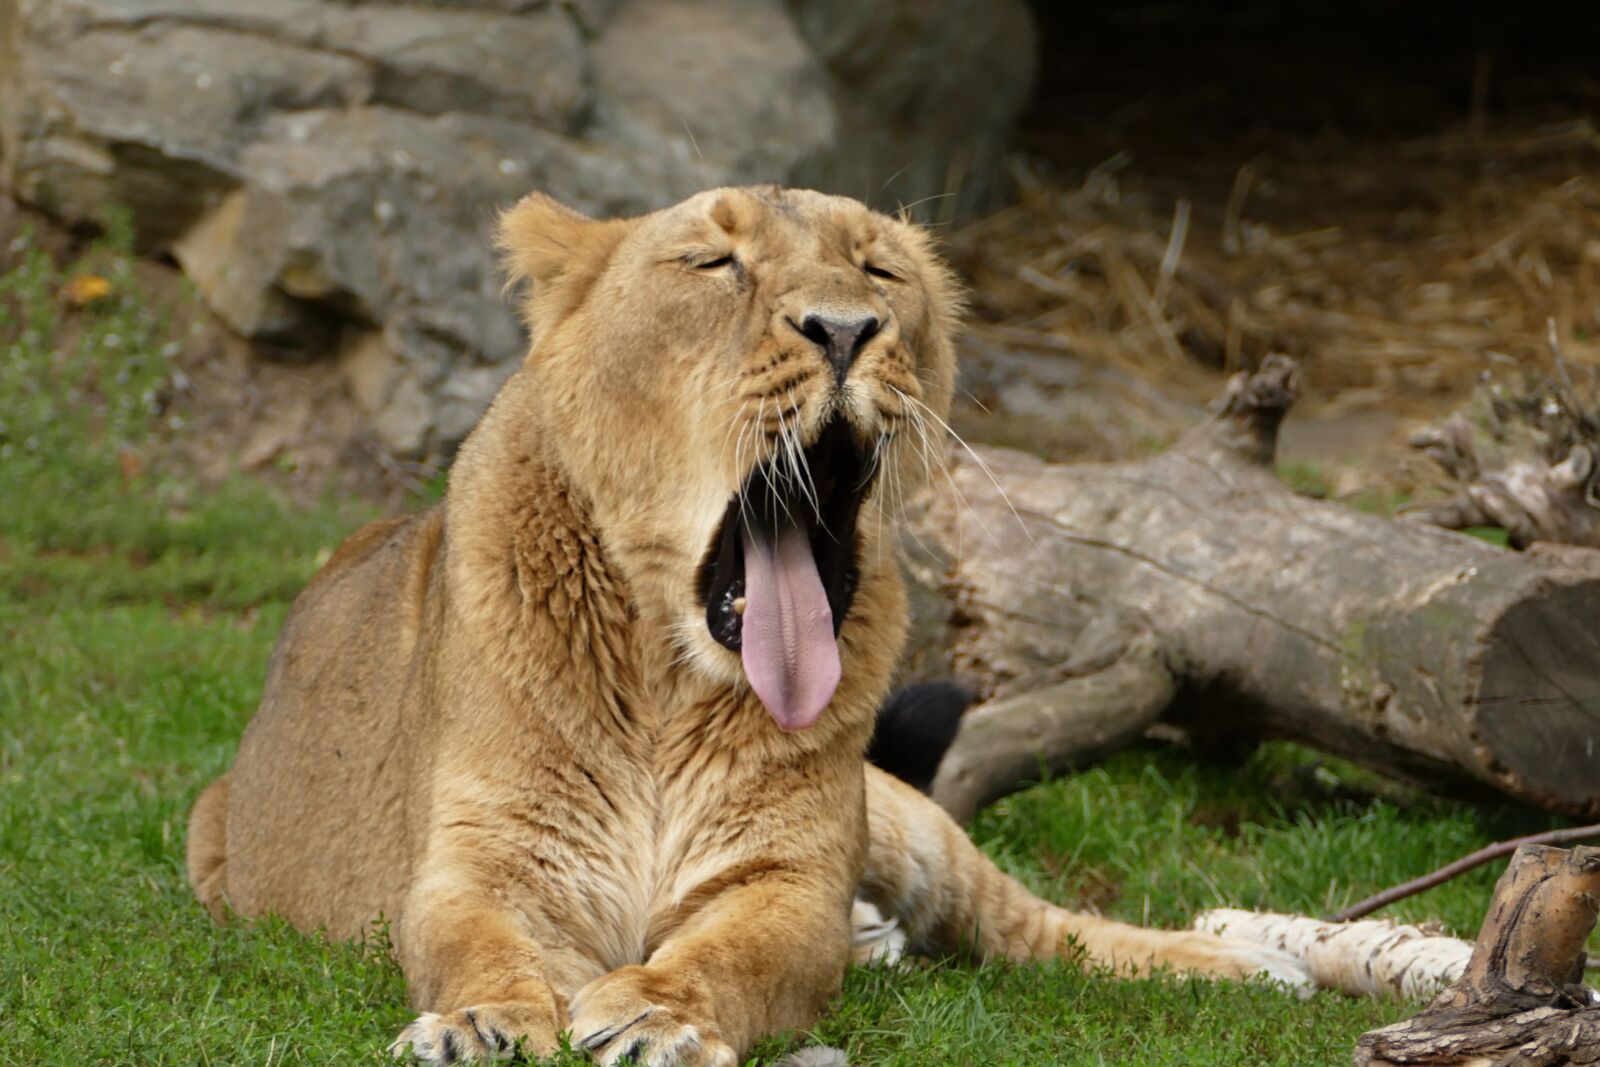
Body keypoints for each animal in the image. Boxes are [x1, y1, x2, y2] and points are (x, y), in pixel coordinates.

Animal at [186, 186, 1310, 1066]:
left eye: (880, 268)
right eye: (714, 262)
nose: (847, 328)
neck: (662, 681)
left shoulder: (790, 873)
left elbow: (739, 951)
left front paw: (659, 1015)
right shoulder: (485, 862)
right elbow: (478, 946)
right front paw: (481, 1024)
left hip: (904, 820)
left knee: (1041, 926)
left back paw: (1253, 959)